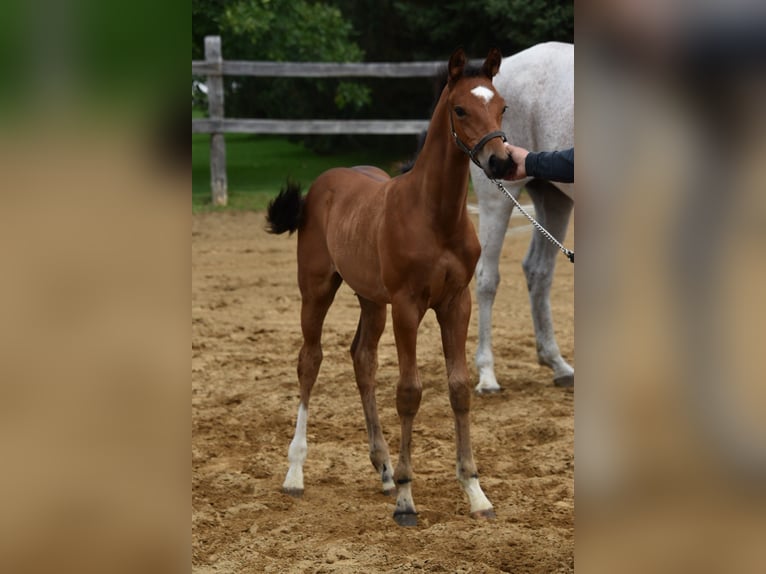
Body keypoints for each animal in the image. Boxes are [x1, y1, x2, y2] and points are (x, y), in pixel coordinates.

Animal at [266, 48, 516, 528]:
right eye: (460, 109)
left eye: (502, 106)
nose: (501, 162)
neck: (435, 216)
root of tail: (322, 184)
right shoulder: (407, 306)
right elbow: (409, 392)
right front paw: (406, 498)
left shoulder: (456, 303)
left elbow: (459, 388)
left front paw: (475, 492)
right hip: (318, 289)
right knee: (310, 360)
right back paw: (294, 472)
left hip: (371, 299)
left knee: (362, 358)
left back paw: (381, 467)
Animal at [468, 41, 576, 392]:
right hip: (496, 201)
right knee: (486, 278)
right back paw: (487, 375)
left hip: (554, 199)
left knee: (538, 272)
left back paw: (557, 364)